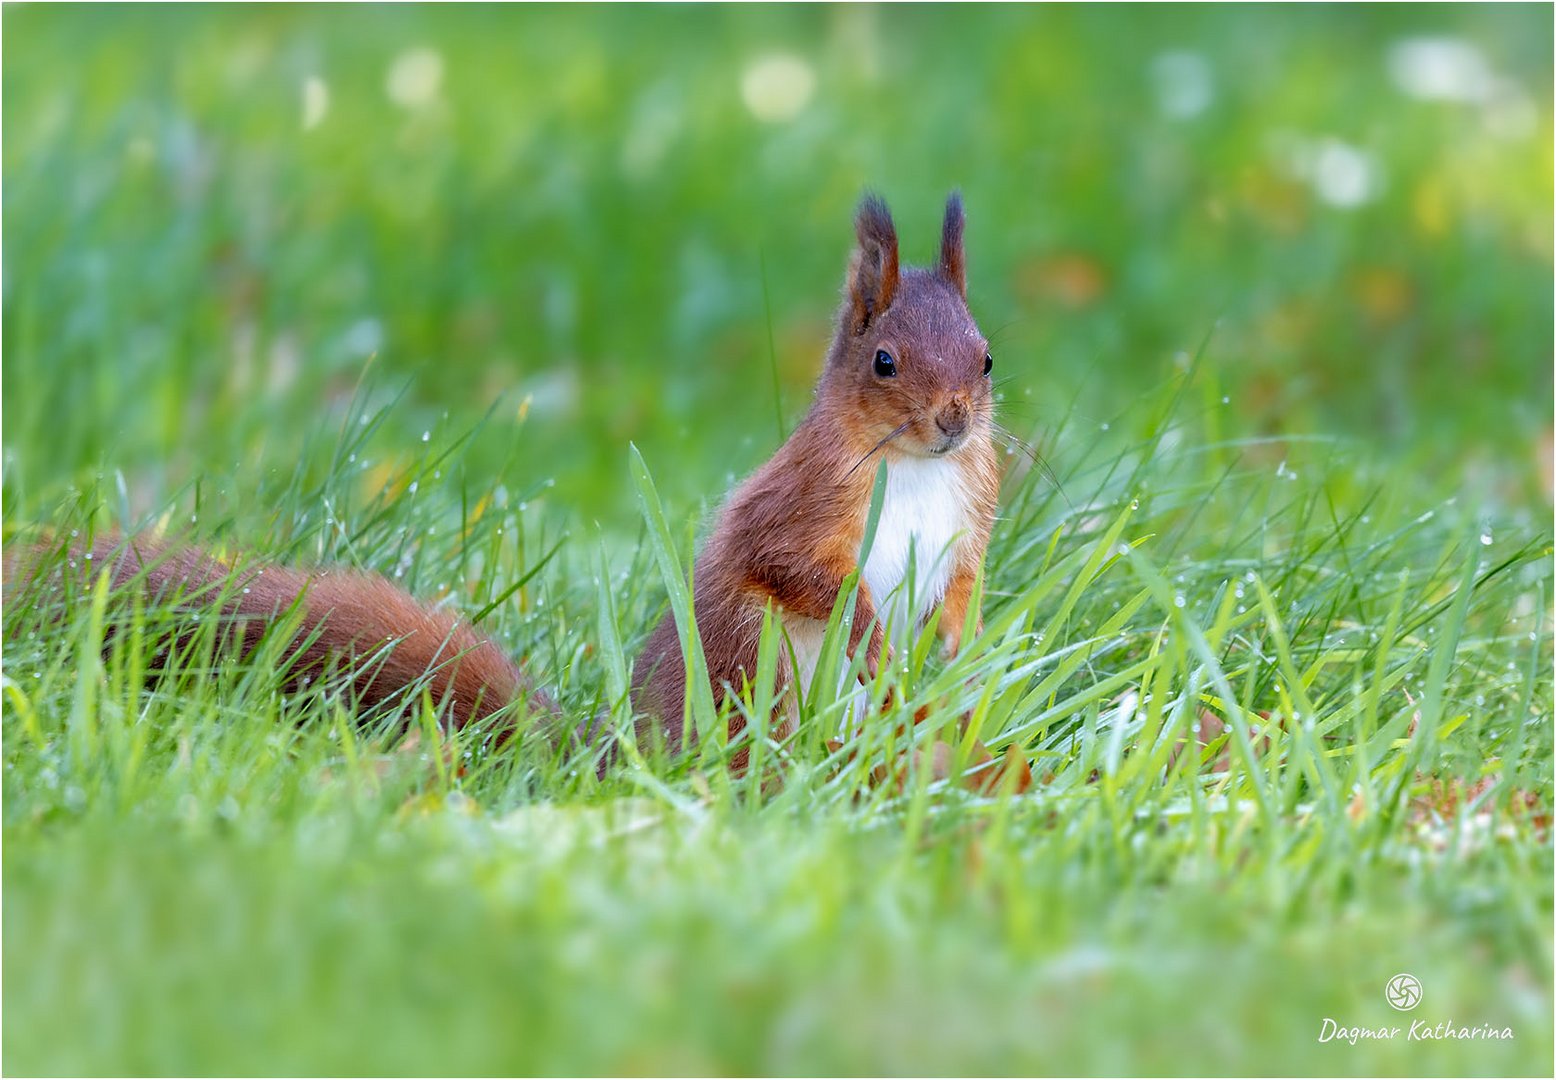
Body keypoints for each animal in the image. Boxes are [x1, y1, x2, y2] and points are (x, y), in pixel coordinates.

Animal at [9, 194, 995, 768]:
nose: (953, 420)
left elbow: (962, 587)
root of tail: (622, 757)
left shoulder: (968, 521)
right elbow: (796, 571)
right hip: (757, 675)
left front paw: (953, 644)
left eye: (986, 357)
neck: (912, 468)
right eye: (883, 362)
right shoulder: (797, 507)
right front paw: (872, 634)